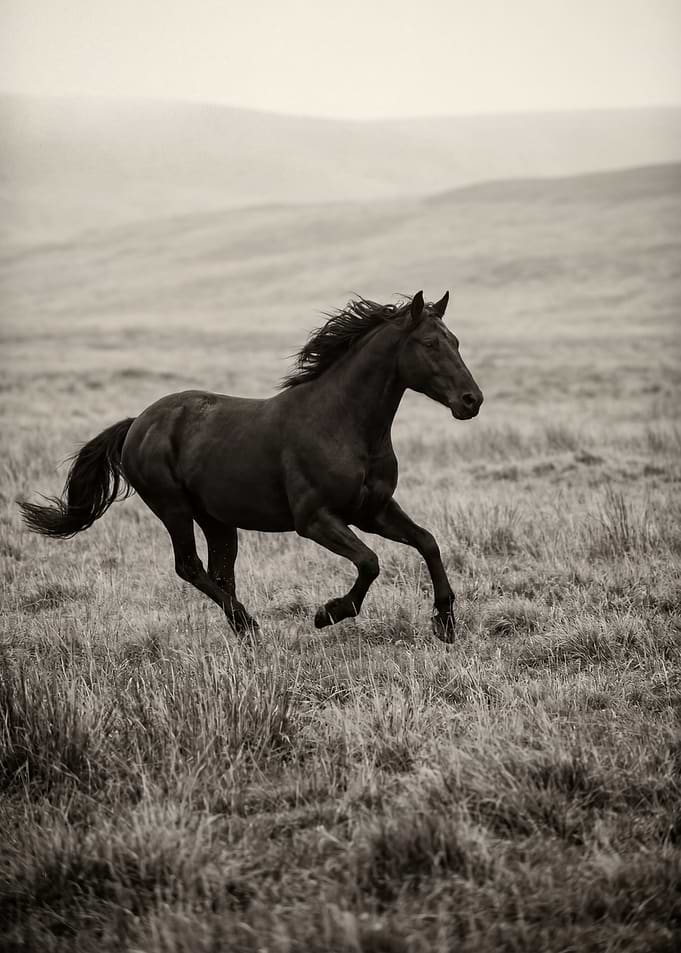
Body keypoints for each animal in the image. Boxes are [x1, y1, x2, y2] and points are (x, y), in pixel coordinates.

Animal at [20, 290, 483, 642]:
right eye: (430, 344)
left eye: (458, 342)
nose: (471, 401)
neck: (343, 423)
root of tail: (138, 423)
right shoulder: (315, 520)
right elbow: (370, 562)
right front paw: (328, 613)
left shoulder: (373, 511)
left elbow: (427, 542)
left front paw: (445, 622)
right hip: (173, 508)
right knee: (189, 567)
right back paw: (250, 624)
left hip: (217, 520)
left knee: (219, 572)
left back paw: (244, 630)